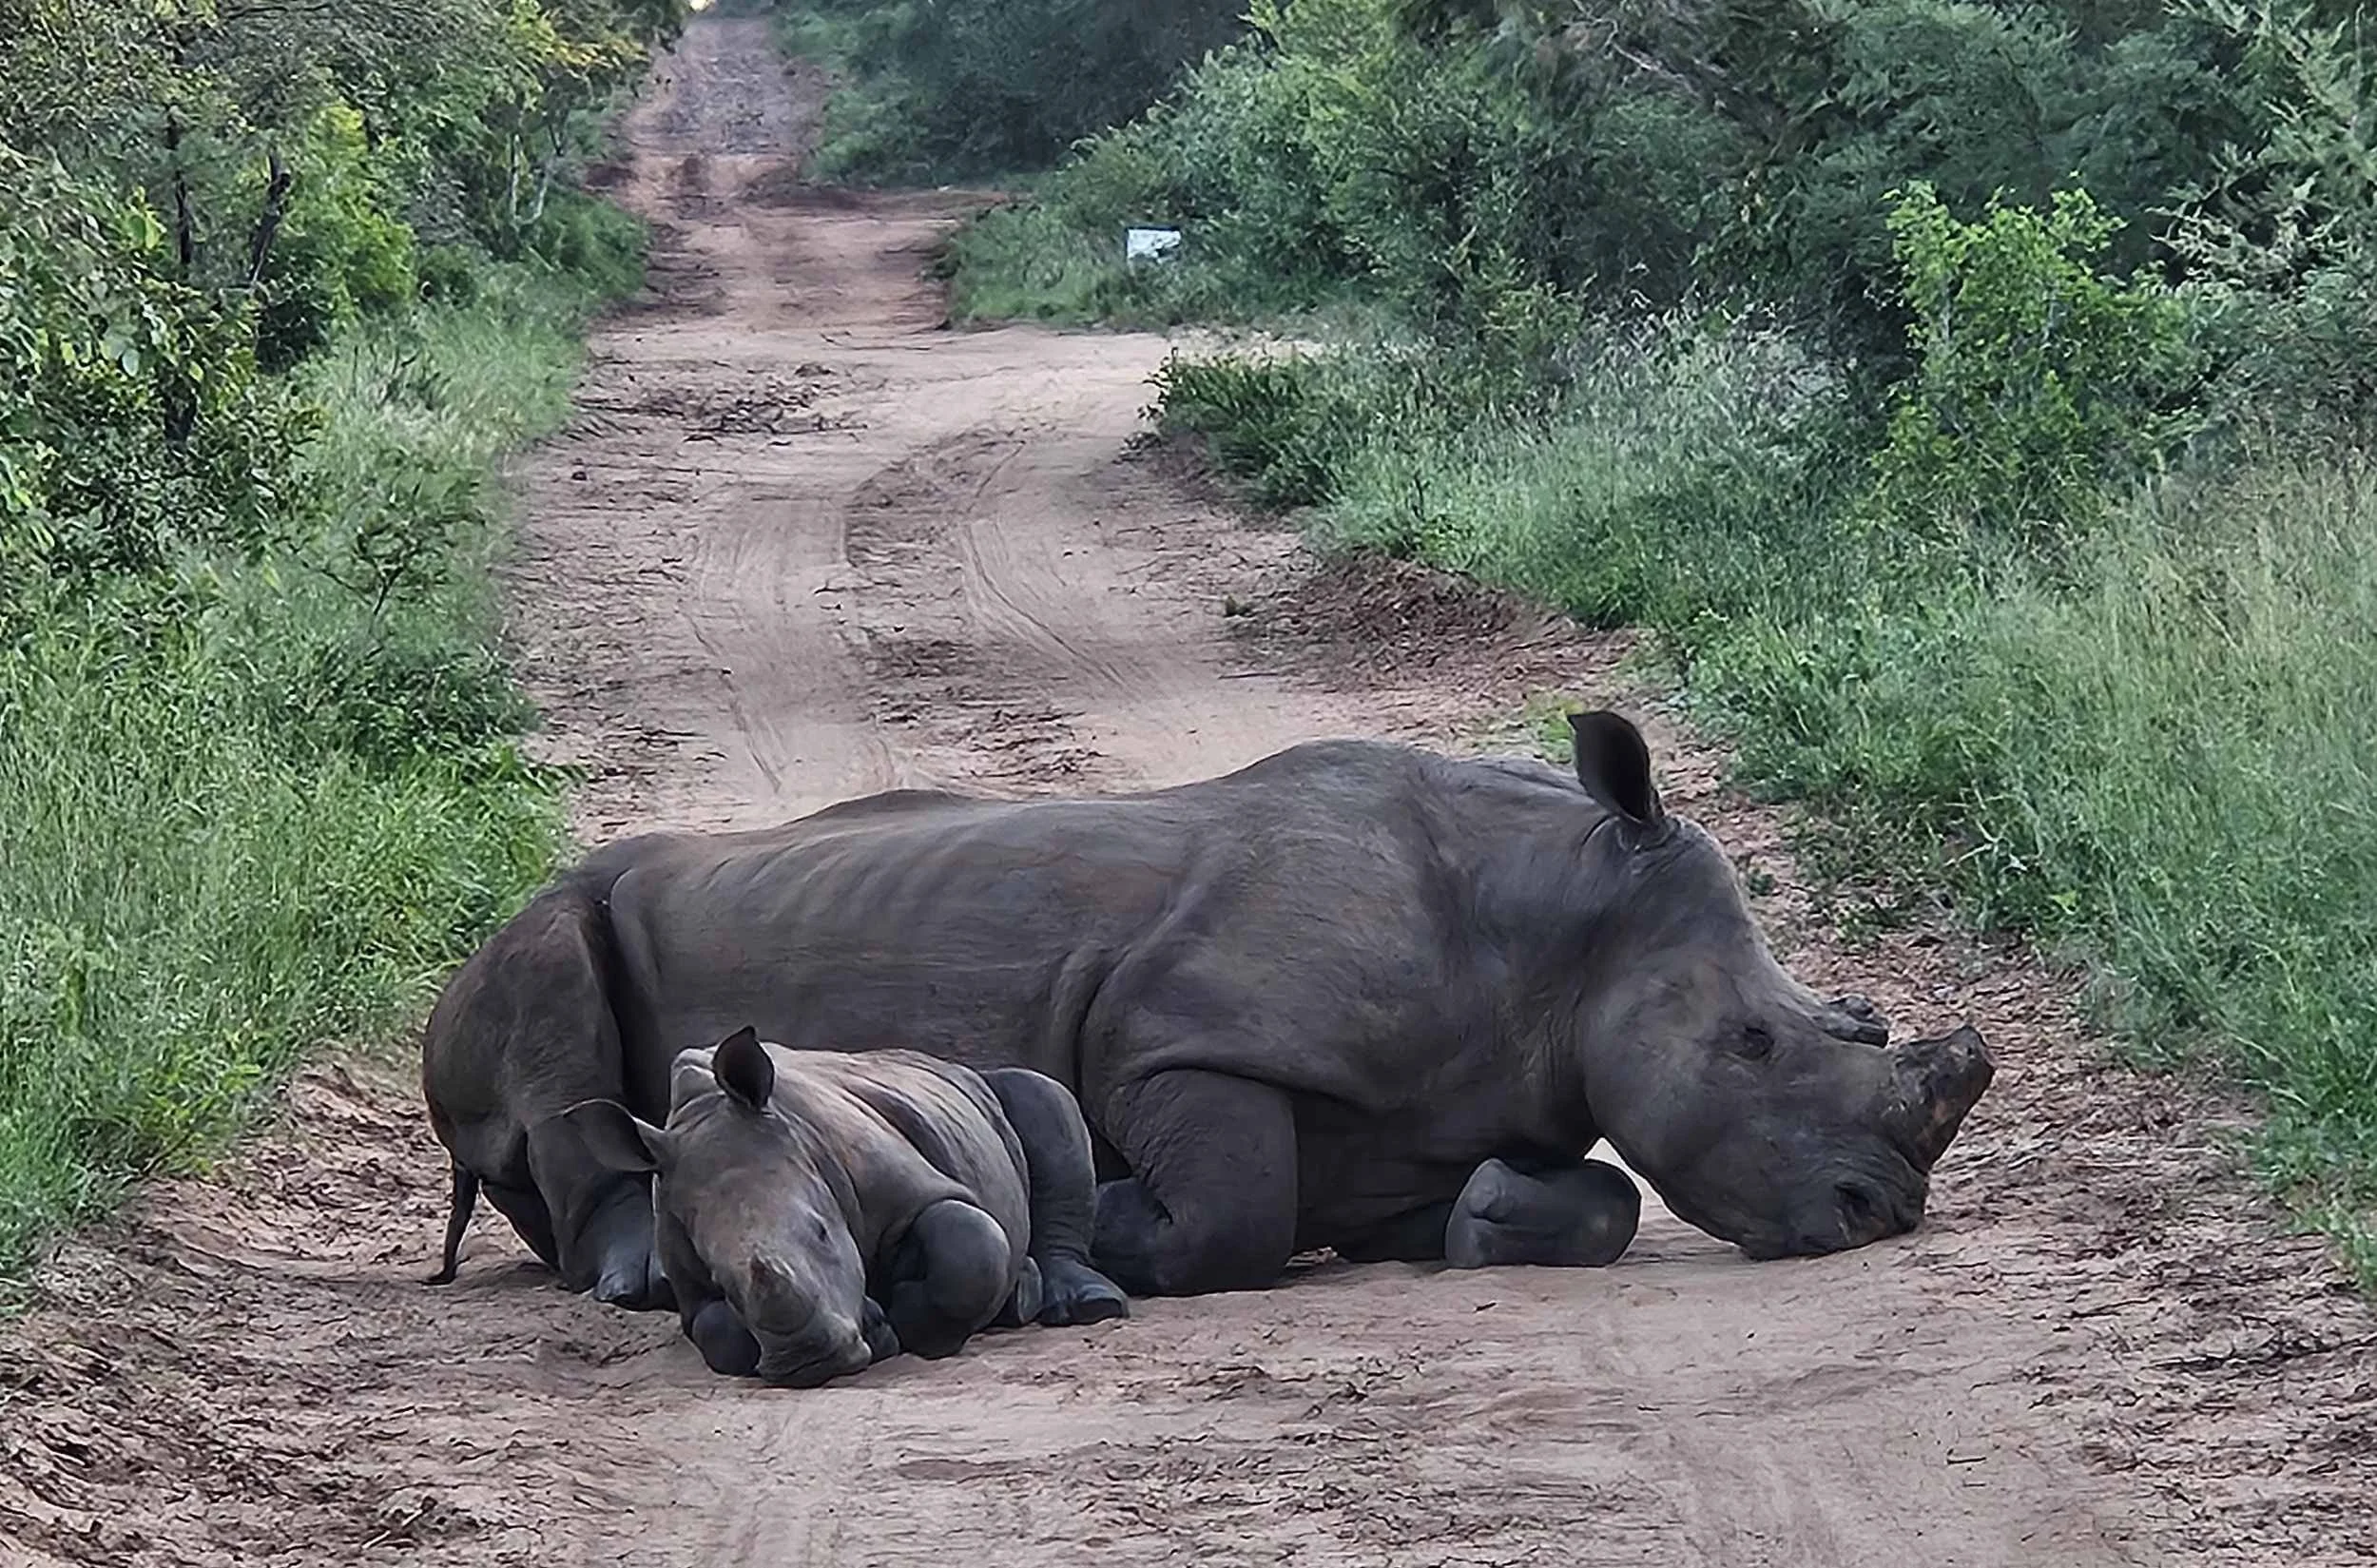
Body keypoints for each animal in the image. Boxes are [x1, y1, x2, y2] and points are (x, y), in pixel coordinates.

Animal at [422, 711, 1993, 1308]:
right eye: (1754, 1042)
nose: (1879, 1212)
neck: (1556, 920)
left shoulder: (1437, 1105)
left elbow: (1596, 1199)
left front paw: (1483, 1220)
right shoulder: (1174, 1038)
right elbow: (1231, 1215)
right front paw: (1116, 1229)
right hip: (533, 925)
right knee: (550, 979)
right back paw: (631, 1278)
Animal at [555, 1029, 1129, 1385]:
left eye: (822, 1232)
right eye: (721, 1279)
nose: (810, 1360)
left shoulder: (917, 1185)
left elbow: (970, 1246)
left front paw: (909, 1326)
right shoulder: (689, 1285)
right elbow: (718, 1333)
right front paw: (875, 1324)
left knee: (1044, 1097)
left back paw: (1072, 1306)